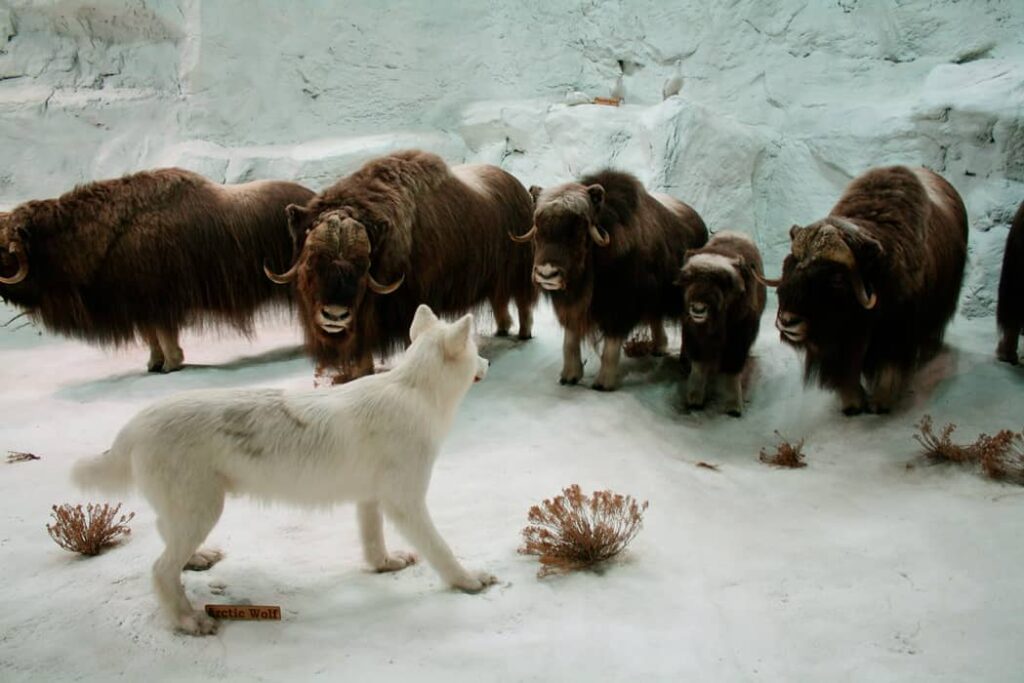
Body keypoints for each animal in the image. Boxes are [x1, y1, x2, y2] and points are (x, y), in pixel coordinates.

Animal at [72, 304, 494, 635]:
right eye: (476, 350)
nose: (488, 364)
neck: (414, 391)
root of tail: (134, 425)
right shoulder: (405, 504)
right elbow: (441, 550)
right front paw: (469, 581)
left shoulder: (371, 500)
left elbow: (373, 545)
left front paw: (386, 565)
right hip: (203, 511)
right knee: (160, 571)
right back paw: (189, 621)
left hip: (192, 513)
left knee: (167, 541)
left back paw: (197, 560)